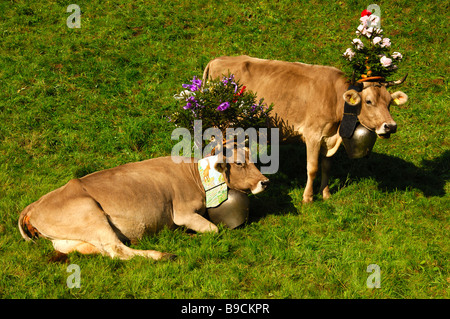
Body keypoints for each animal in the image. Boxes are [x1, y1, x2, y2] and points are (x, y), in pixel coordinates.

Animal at [19, 149, 268, 260]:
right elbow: (214, 229)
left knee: (99, 250)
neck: (196, 175)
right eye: (239, 163)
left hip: (67, 239)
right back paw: (162, 254)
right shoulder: (183, 212)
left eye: (253, 160)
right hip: (89, 213)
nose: (265, 181)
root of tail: (34, 205)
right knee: (117, 250)